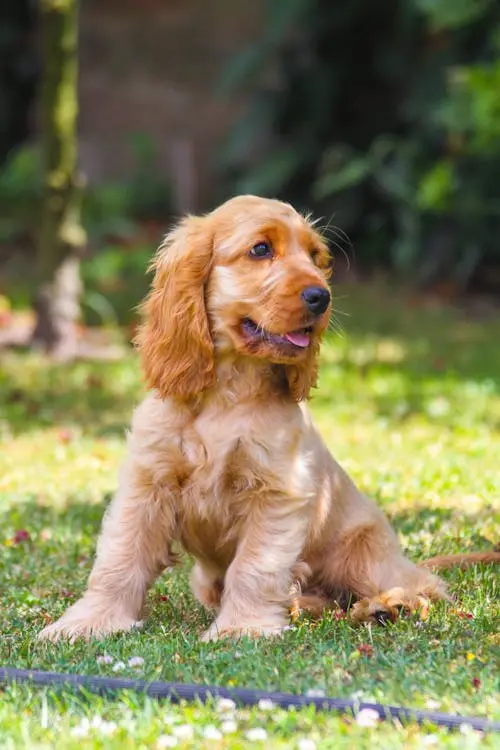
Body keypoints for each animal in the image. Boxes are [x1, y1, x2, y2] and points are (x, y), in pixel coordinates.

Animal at [38, 197, 496, 644]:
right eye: (260, 249)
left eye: (315, 256)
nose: (321, 296)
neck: (228, 391)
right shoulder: (149, 482)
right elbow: (120, 558)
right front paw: (89, 621)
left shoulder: (276, 491)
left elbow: (256, 567)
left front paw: (243, 627)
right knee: (325, 598)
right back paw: (304, 605)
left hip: (363, 551)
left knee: (422, 586)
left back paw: (388, 606)